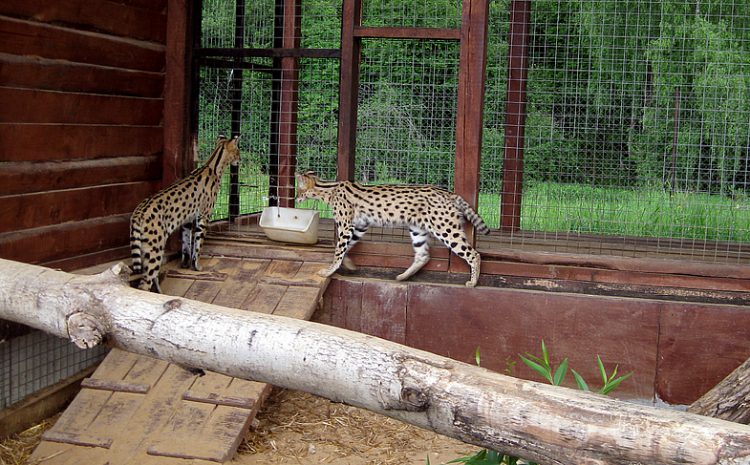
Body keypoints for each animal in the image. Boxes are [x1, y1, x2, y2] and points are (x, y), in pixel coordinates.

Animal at [131, 134, 242, 292]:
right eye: (238, 151)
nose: (240, 159)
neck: (213, 166)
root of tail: (138, 212)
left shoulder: (187, 221)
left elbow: (186, 244)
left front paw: (185, 264)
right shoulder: (203, 217)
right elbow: (198, 244)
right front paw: (196, 266)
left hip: (145, 247)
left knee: (149, 276)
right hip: (155, 247)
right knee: (145, 282)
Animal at [296, 170, 490, 286]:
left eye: (298, 190)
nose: (296, 198)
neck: (330, 189)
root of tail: (449, 193)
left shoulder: (346, 225)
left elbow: (338, 250)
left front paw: (329, 271)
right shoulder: (360, 226)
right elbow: (346, 248)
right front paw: (349, 264)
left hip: (445, 229)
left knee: (474, 254)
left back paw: (473, 282)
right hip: (417, 229)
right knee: (423, 255)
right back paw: (402, 277)